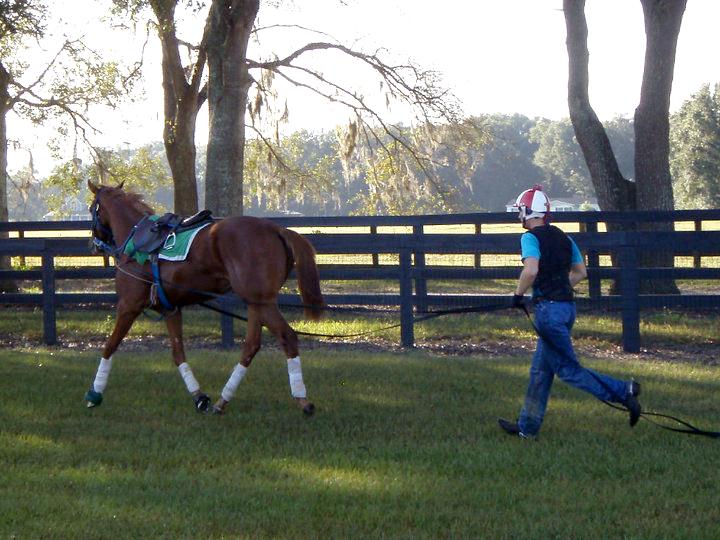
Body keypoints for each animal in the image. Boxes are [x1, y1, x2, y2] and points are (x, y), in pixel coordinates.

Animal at [83, 179, 324, 416]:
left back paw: (302, 399)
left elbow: (109, 346)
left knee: (287, 336)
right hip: (256, 303)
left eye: (91, 208)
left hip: (262, 302)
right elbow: (178, 354)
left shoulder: (128, 306)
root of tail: (276, 228)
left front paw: (94, 394)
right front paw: (199, 396)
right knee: (252, 345)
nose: (93, 245)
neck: (137, 243)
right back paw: (223, 400)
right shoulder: (171, 310)